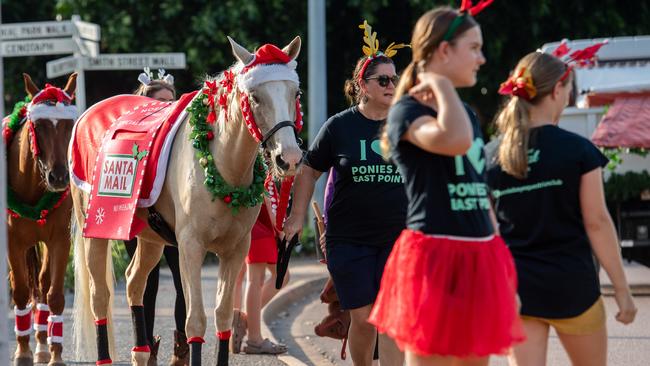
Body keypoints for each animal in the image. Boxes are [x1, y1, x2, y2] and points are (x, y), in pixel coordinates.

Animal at [69, 35, 302, 364]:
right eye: (255, 97)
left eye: (296, 93)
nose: (289, 158)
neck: (221, 164)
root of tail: (88, 115)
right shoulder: (191, 246)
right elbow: (195, 320)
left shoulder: (235, 249)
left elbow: (223, 316)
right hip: (96, 231)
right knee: (99, 295)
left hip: (149, 238)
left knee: (134, 283)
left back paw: (142, 352)